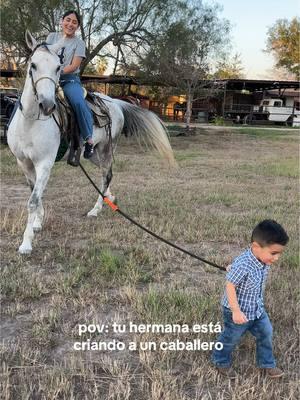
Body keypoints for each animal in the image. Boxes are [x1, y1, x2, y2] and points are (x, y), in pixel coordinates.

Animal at [7, 32, 176, 255]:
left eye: (58, 67)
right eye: (33, 65)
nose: (48, 105)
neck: (31, 122)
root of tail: (116, 102)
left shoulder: (45, 163)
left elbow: (34, 200)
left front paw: (26, 243)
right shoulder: (24, 163)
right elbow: (36, 193)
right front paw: (37, 223)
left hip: (106, 149)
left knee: (107, 175)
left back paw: (96, 209)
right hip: (92, 154)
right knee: (107, 176)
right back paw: (110, 199)